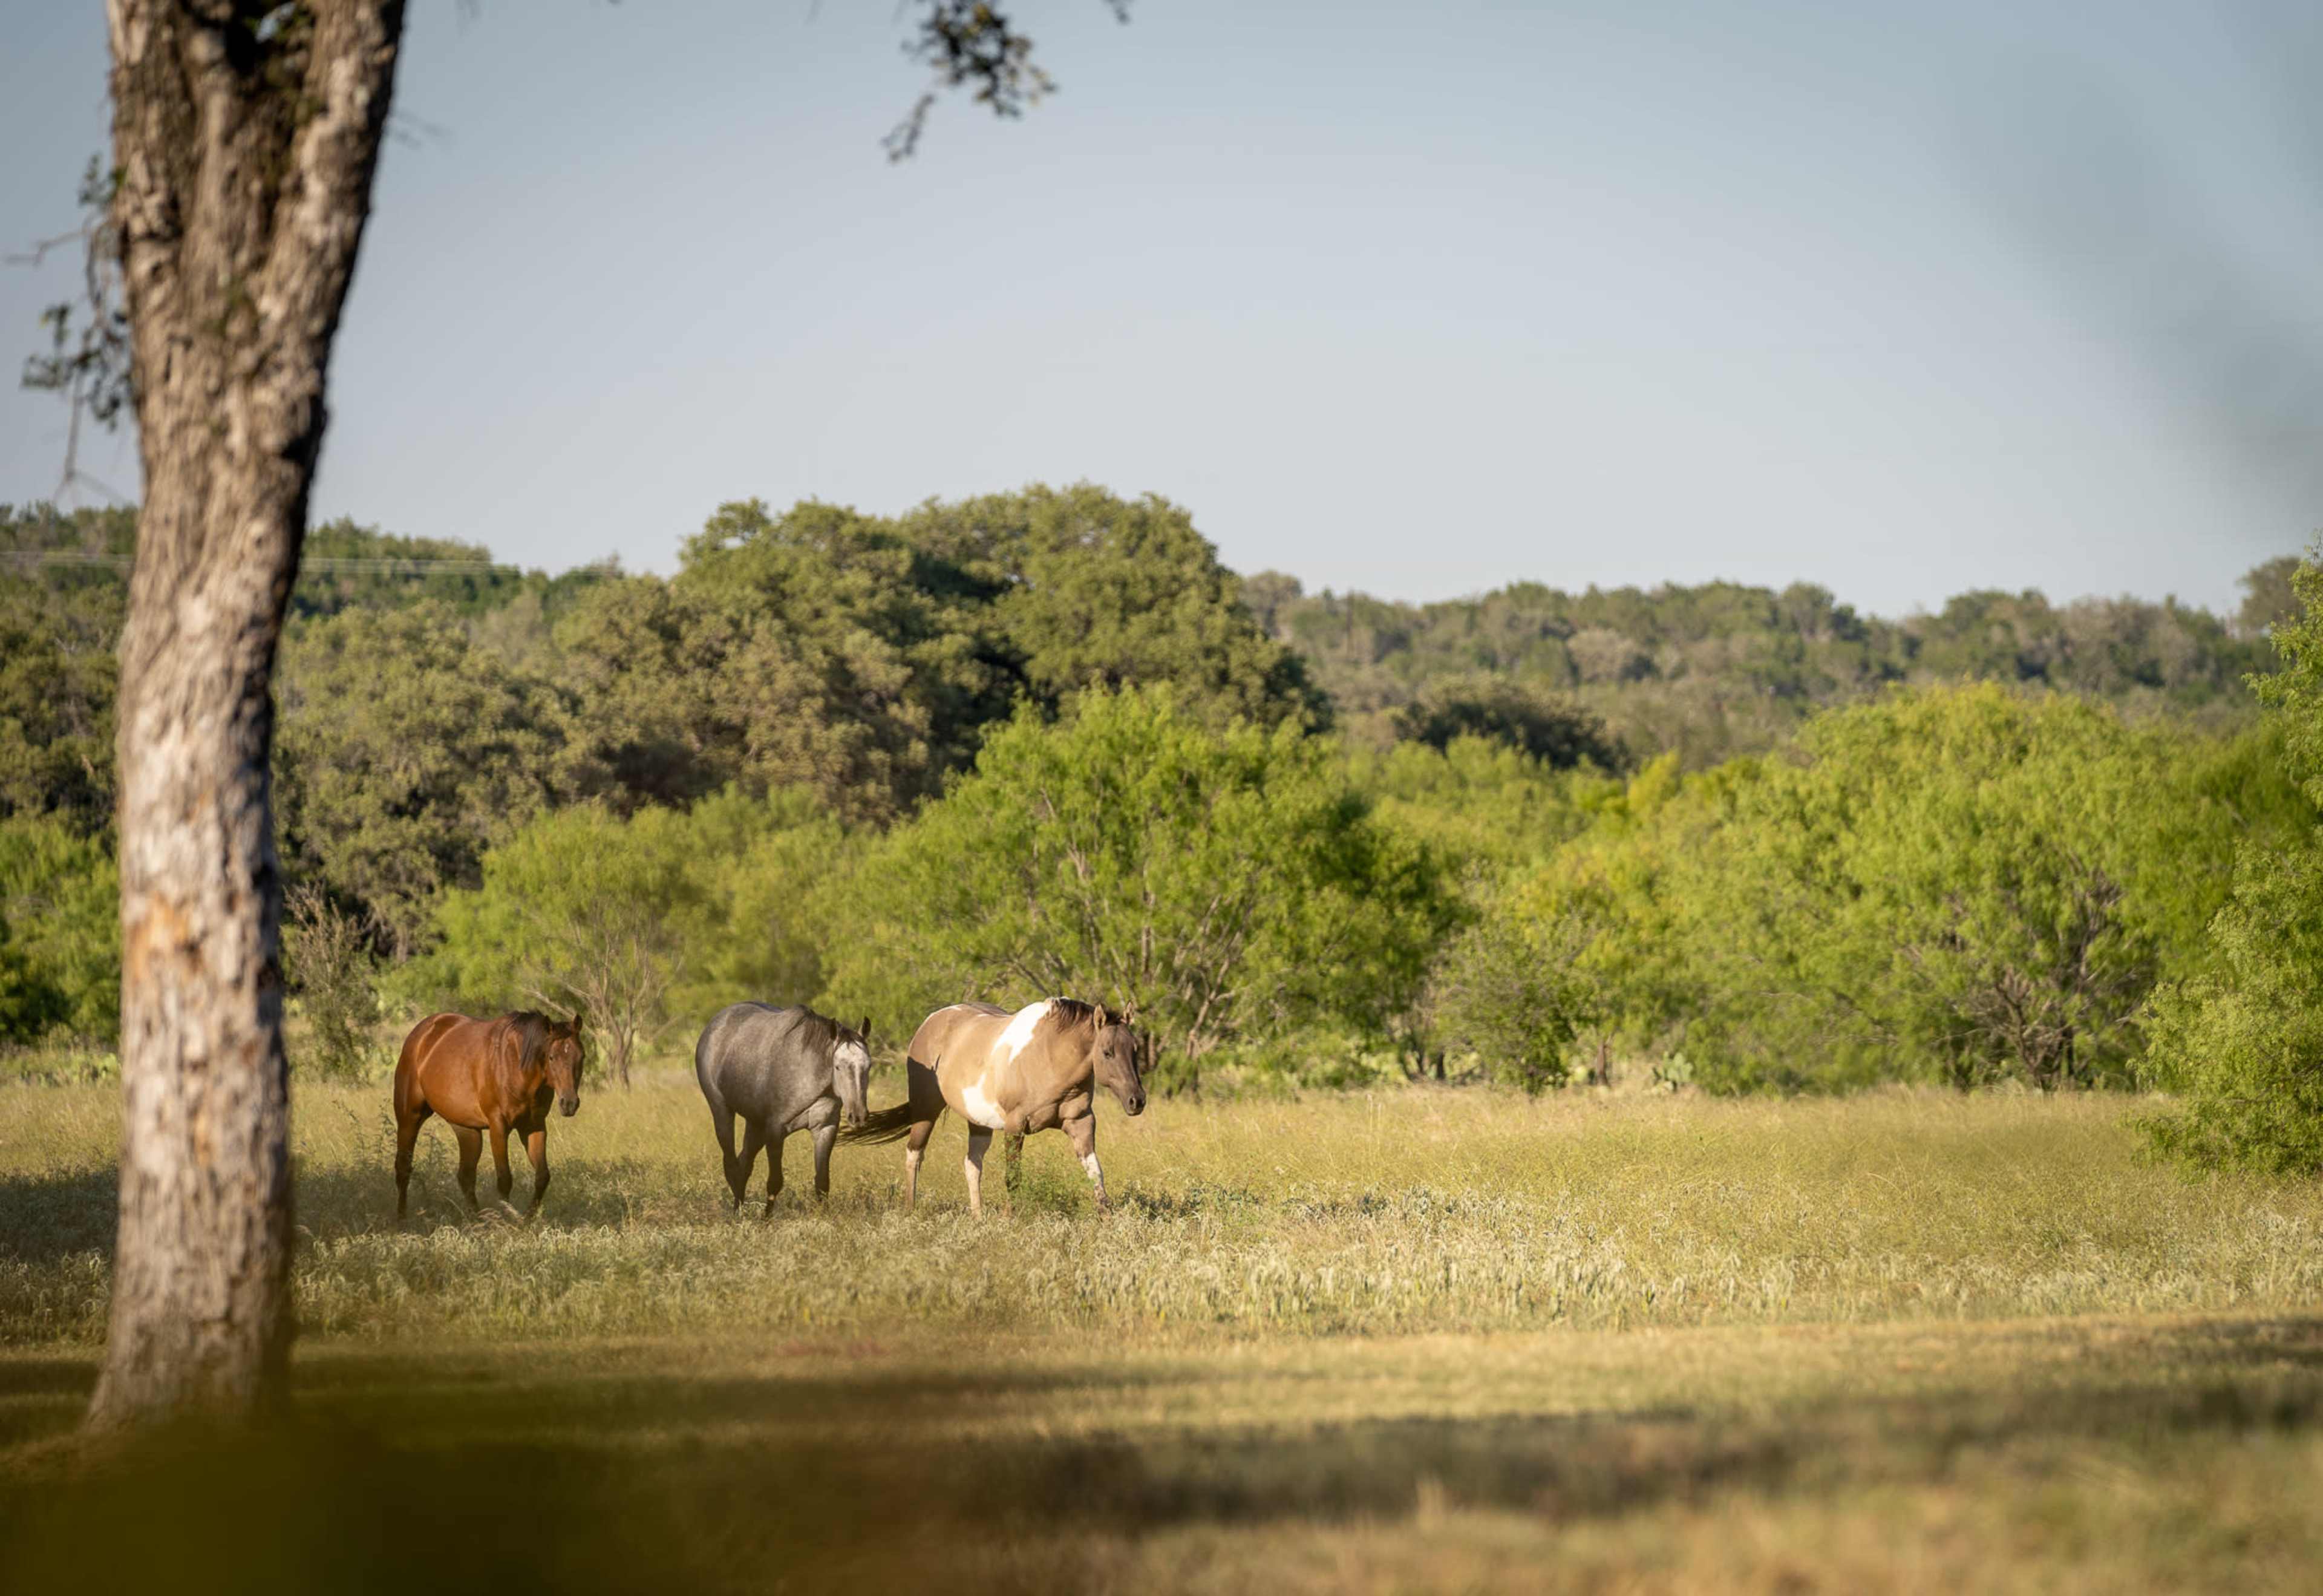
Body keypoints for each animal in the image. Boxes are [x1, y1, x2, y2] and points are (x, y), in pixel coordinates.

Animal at [392, 1011, 585, 1221]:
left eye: (581, 1057)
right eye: (551, 1057)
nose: (569, 1103)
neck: (516, 1065)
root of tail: (420, 1034)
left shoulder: (534, 1126)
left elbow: (543, 1176)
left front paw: (527, 1219)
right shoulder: (498, 1127)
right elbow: (504, 1179)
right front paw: (507, 1219)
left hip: (467, 1129)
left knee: (466, 1176)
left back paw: (477, 1221)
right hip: (409, 1118)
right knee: (403, 1168)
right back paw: (401, 1218)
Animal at [693, 1003, 872, 1212]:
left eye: (868, 1066)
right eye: (838, 1067)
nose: (858, 1116)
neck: (807, 1073)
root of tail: (715, 1024)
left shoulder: (825, 1129)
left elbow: (822, 1182)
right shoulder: (775, 1132)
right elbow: (775, 1181)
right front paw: (766, 1218)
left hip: (755, 1124)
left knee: (744, 1164)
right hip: (722, 1111)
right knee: (731, 1164)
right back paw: (737, 1211)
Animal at [842, 998, 1146, 1215]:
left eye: (1135, 1049)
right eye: (1107, 1052)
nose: (1137, 1100)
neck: (1049, 1056)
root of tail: (929, 1024)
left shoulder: (1081, 1122)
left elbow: (1095, 1172)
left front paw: (1106, 1217)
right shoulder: (1015, 1126)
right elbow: (1013, 1177)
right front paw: (1011, 1218)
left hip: (978, 1122)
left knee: (972, 1164)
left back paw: (978, 1217)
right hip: (926, 1111)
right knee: (914, 1156)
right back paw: (910, 1210)